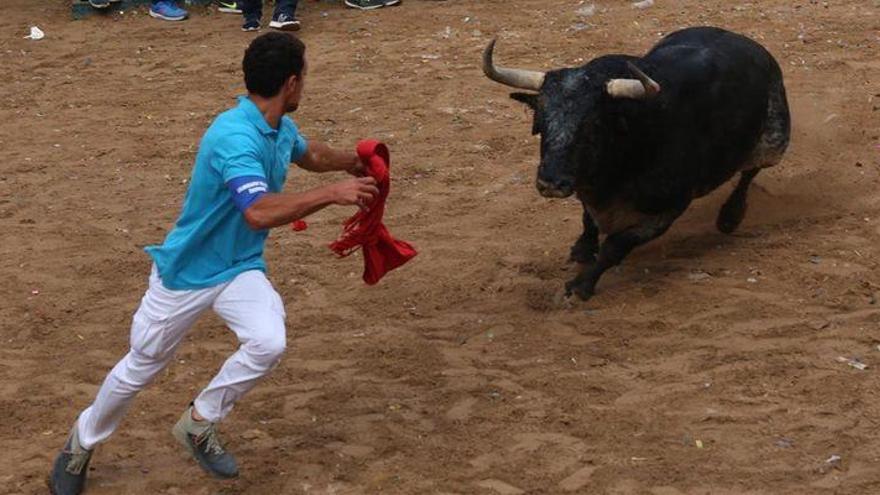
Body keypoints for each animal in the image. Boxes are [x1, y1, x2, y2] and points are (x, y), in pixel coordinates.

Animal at [482, 28, 792, 302]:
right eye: (541, 121)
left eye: (593, 124)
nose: (551, 183)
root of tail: (756, 49)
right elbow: (588, 219)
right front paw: (582, 249)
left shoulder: (666, 210)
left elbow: (615, 246)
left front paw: (580, 286)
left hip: (773, 142)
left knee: (750, 172)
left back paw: (730, 217)